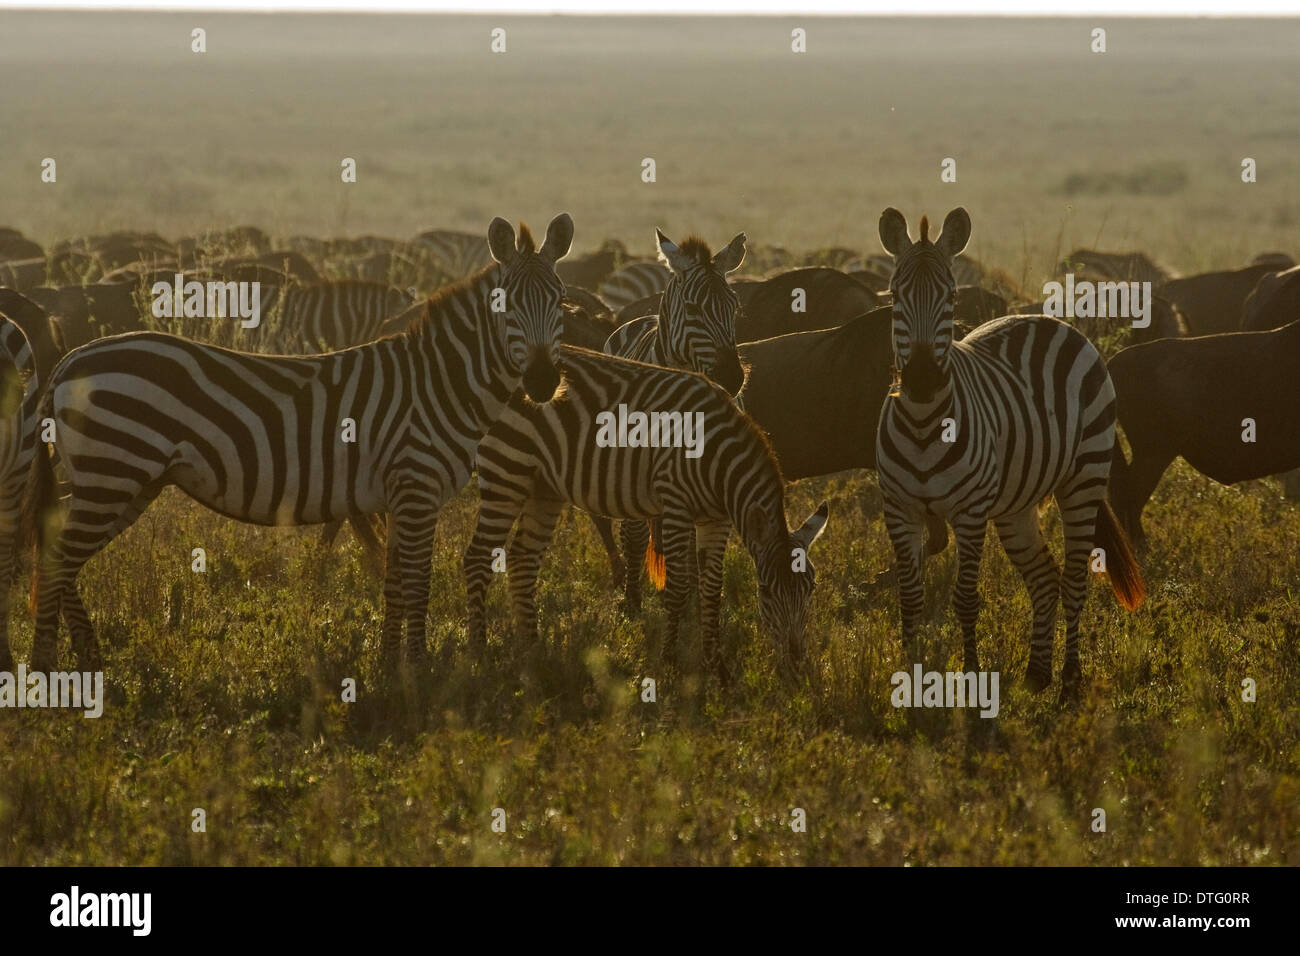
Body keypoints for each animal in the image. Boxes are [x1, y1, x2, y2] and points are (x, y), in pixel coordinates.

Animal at [24, 213, 574, 674]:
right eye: (507, 307)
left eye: (561, 301)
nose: (544, 381)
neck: (439, 380)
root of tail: (69, 361)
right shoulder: (418, 486)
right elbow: (417, 584)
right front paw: (418, 669)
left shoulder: (399, 493)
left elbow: (394, 583)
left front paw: (390, 665)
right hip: (112, 472)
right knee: (53, 564)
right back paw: (46, 670)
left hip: (120, 481)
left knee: (58, 558)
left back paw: (87, 659)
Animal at [465, 345, 829, 682]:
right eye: (765, 590)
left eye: (811, 588)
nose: (797, 664)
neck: (719, 460)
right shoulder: (676, 502)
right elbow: (679, 587)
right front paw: (669, 662)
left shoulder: (717, 518)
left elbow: (713, 589)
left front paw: (718, 671)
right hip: (507, 467)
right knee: (478, 558)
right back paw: (480, 654)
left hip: (543, 488)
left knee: (522, 560)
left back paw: (533, 652)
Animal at [875, 207, 1145, 699]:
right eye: (895, 296)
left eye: (951, 297)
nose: (921, 379)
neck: (924, 424)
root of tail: (1050, 320)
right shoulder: (898, 509)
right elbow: (910, 596)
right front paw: (912, 677)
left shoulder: (969, 511)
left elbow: (965, 597)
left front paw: (970, 676)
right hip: (1017, 504)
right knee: (1045, 578)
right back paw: (1037, 674)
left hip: (1083, 479)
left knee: (1074, 581)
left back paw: (1069, 683)